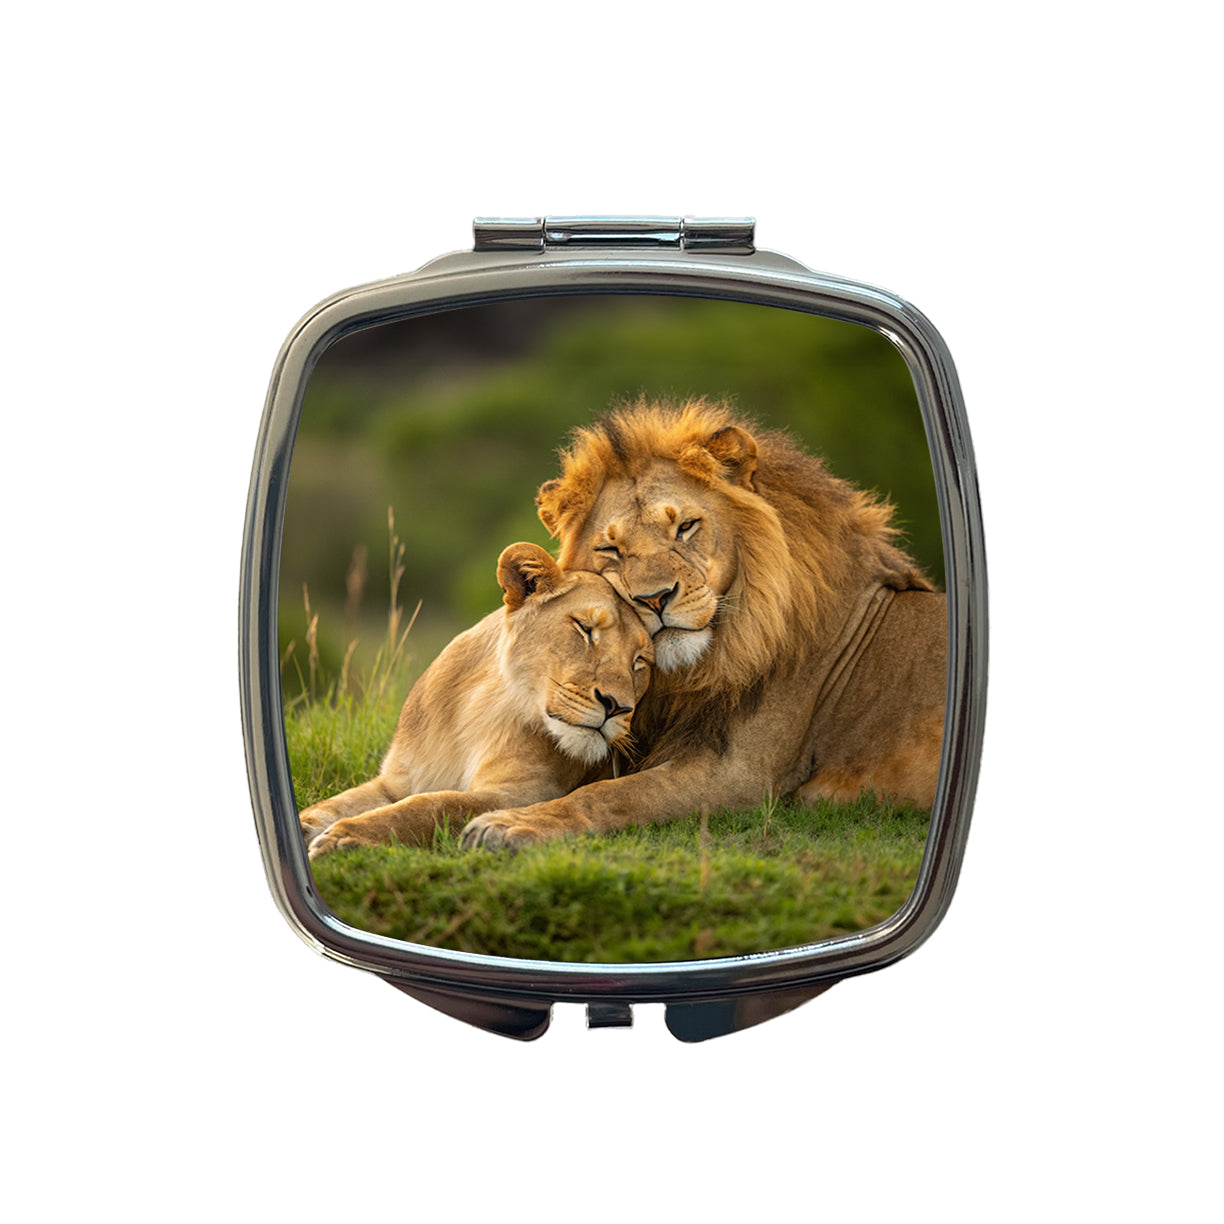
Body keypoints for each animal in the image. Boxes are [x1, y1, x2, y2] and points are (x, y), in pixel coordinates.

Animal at [302, 541, 653, 858]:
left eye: (639, 662)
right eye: (585, 628)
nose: (617, 706)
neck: (480, 709)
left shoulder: (524, 794)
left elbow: (434, 804)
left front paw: (345, 836)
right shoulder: (394, 781)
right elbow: (336, 803)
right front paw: (306, 825)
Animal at [460, 398, 946, 851]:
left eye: (686, 527)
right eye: (611, 549)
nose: (654, 599)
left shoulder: (740, 774)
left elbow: (613, 793)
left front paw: (508, 825)